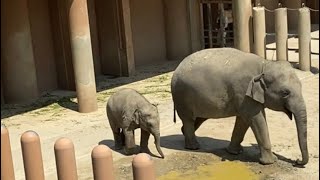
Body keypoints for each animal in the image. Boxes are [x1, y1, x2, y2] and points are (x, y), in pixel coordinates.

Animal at [171, 47, 308, 166]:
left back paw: (184, 133)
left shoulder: (244, 98)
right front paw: (270, 162)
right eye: (285, 93)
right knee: (189, 119)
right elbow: (256, 119)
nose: (296, 161)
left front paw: (234, 152)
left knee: (199, 118)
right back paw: (193, 147)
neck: (264, 65)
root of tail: (177, 68)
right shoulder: (243, 92)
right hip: (182, 96)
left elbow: (243, 121)